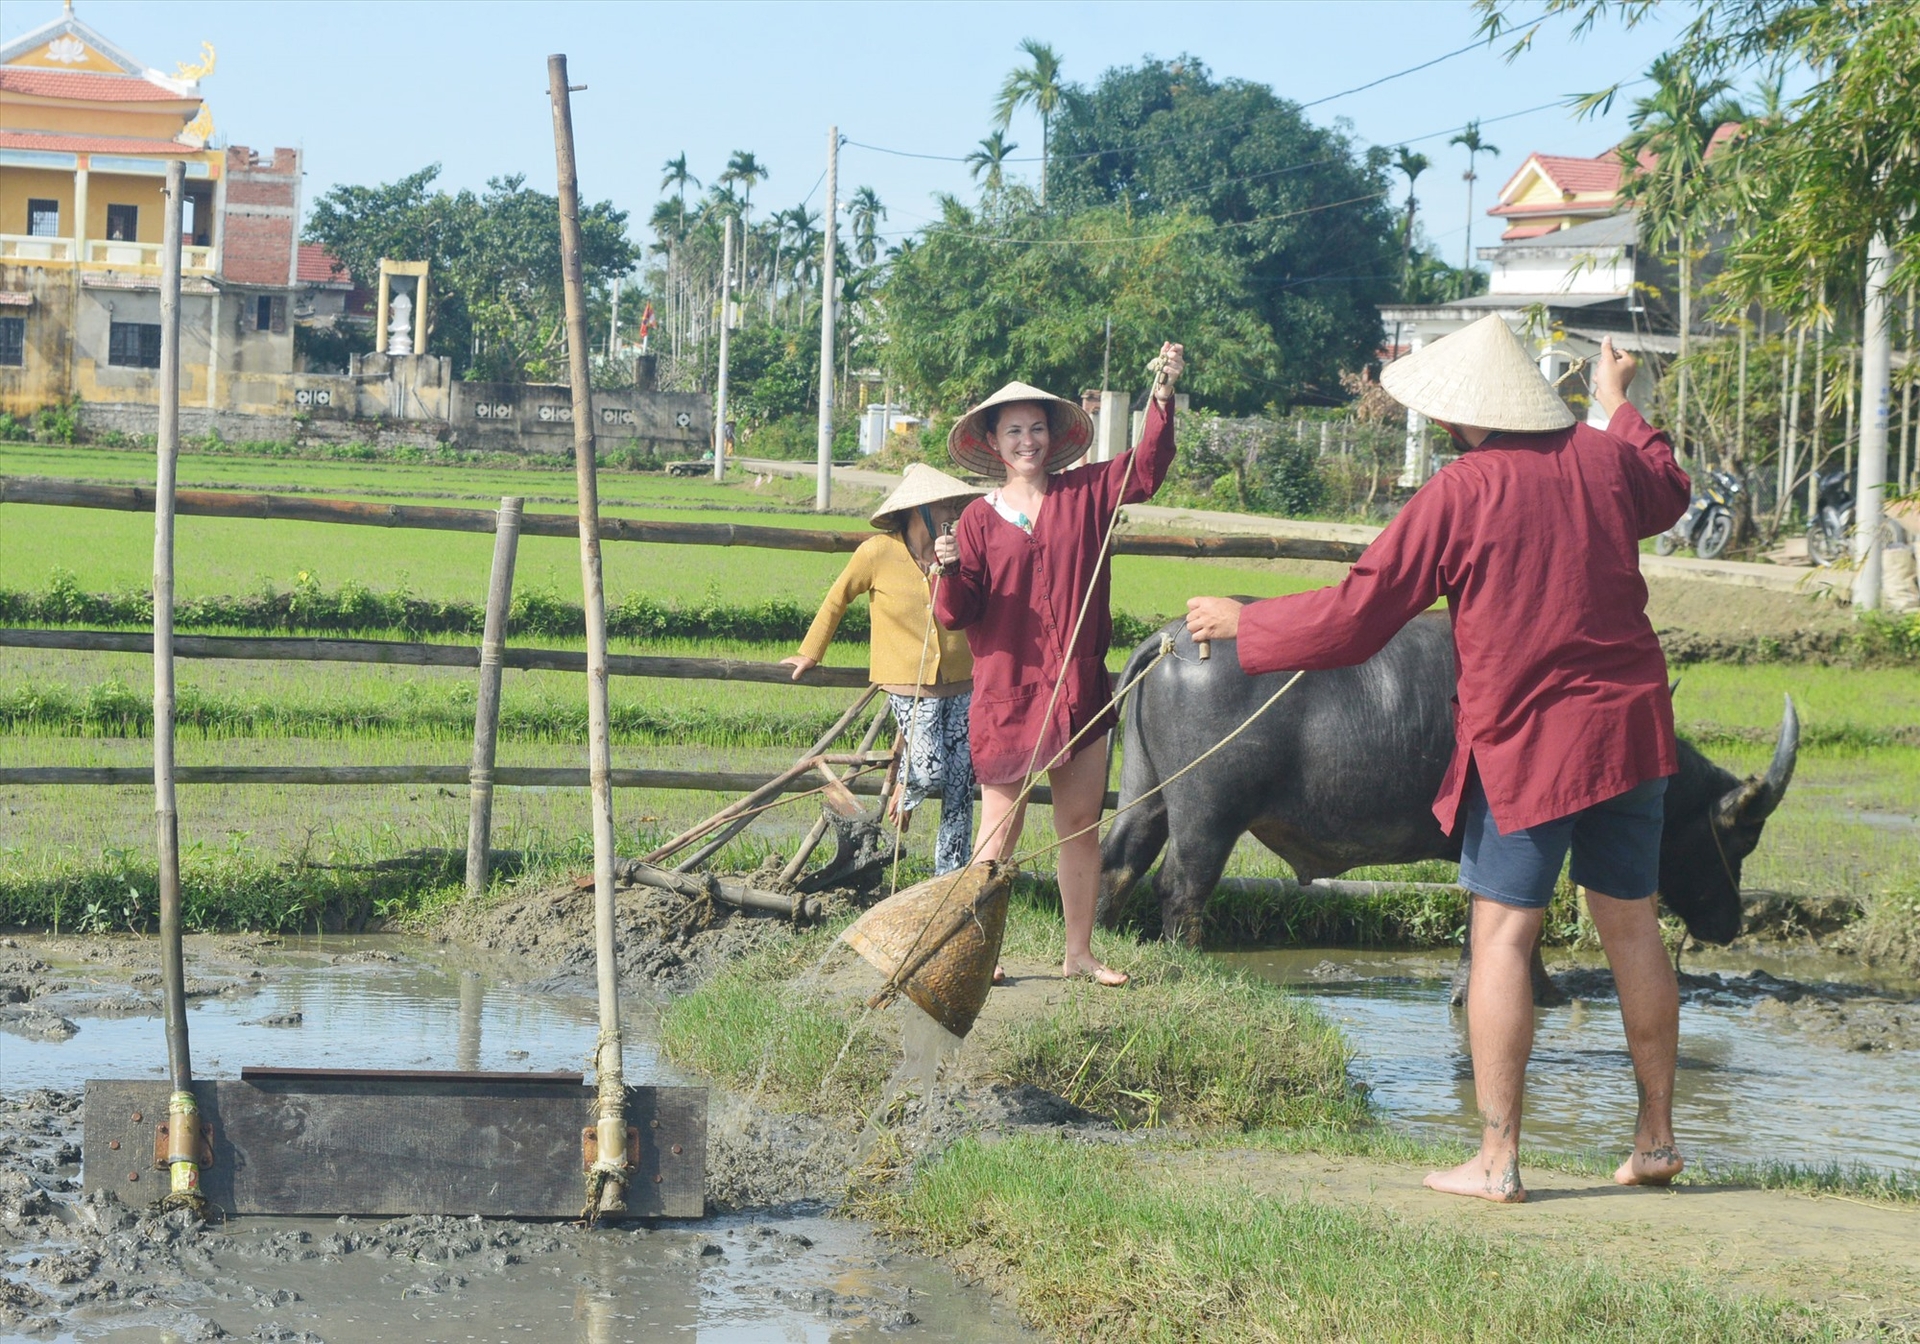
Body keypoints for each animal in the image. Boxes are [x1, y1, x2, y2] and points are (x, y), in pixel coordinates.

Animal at [1098, 610, 1797, 967]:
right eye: (1739, 839)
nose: (1729, 924)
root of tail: (1173, 639)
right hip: (1209, 813)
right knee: (1181, 886)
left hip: (1146, 790)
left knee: (1117, 861)